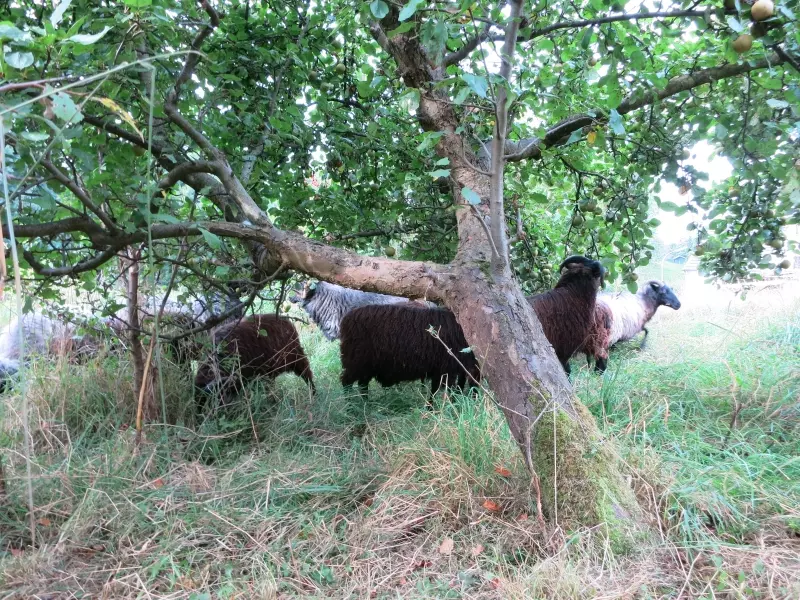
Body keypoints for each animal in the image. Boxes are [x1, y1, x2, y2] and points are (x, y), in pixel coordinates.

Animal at [339, 303, 480, 397]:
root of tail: (346, 318)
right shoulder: (448, 367)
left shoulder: (442, 369)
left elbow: (437, 391)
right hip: (355, 360)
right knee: (347, 382)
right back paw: (351, 407)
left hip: (365, 365)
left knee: (362, 384)